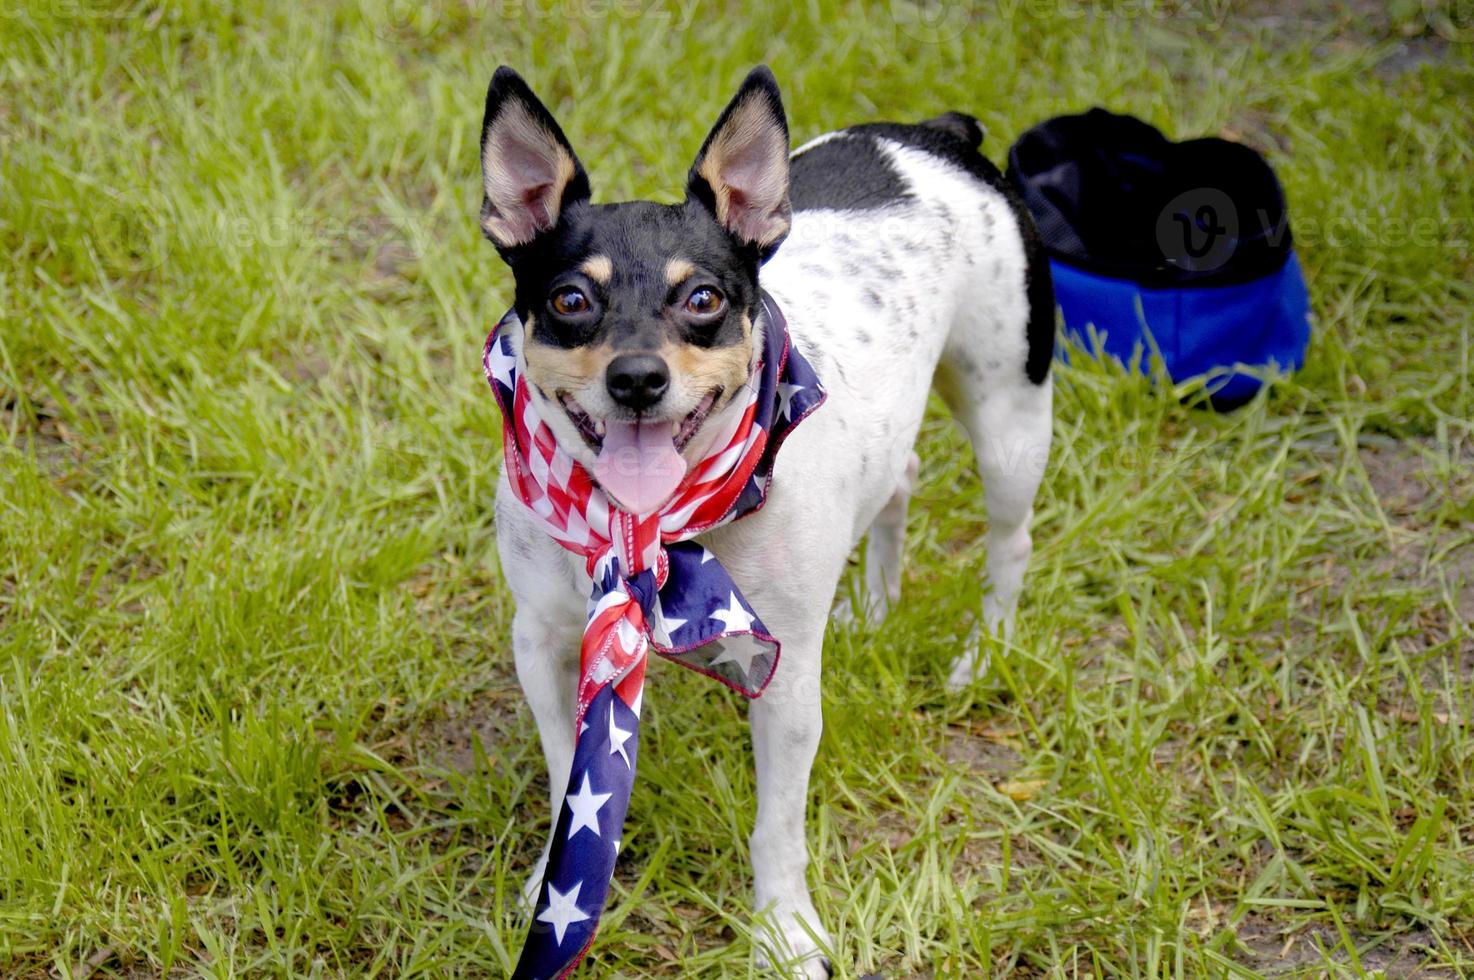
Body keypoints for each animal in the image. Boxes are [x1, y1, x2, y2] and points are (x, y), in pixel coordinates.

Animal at [480, 64, 1049, 972]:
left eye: (703, 298)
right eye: (570, 299)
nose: (636, 377)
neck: (652, 529)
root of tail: (937, 134)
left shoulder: (783, 686)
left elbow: (777, 828)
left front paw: (783, 930)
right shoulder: (544, 643)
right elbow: (570, 768)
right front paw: (550, 886)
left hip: (1009, 420)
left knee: (1011, 542)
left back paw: (982, 651)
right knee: (898, 480)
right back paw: (877, 606)